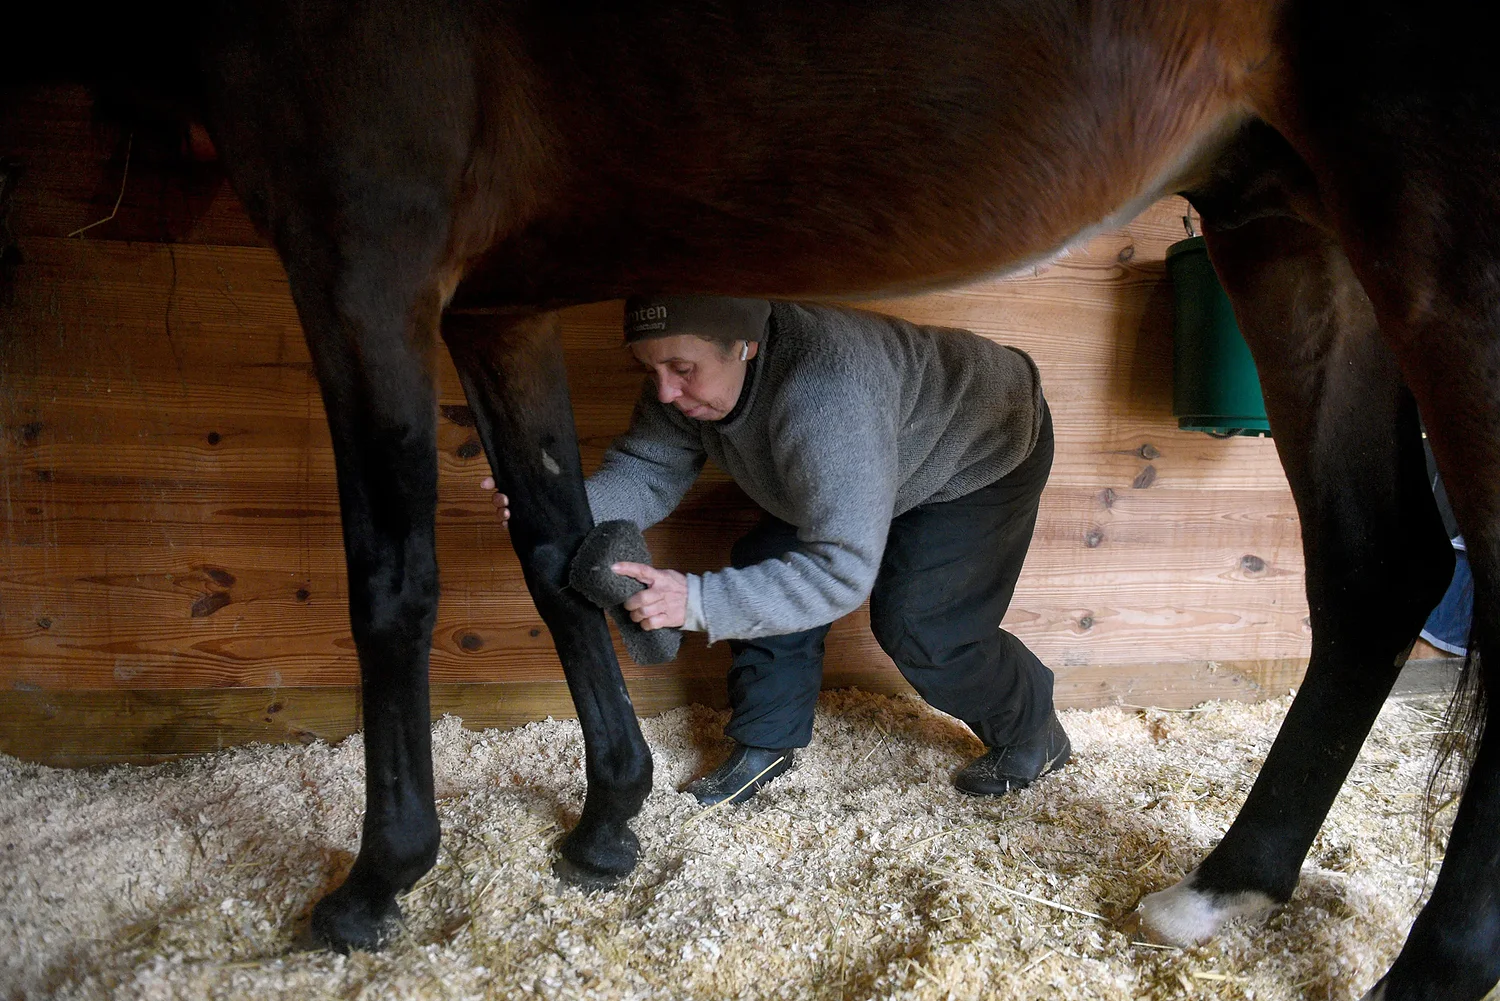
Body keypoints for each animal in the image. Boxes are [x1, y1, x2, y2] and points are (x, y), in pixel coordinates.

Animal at [8, 1, 1497, 998]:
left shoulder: (361, 260)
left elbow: (394, 583)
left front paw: (379, 878)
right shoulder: (497, 303)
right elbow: (557, 550)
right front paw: (611, 813)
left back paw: (1426, 970)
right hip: (1284, 221)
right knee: (1375, 569)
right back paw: (1229, 884)